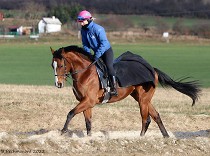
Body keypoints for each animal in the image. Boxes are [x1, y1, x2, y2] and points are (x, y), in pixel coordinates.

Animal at [50, 45, 200, 138]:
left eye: (61, 65)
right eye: (52, 65)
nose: (58, 84)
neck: (85, 73)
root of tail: (153, 69)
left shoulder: (89, 101)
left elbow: (71, 113)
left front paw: (63, 131)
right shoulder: (85, 102)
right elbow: (88, 122)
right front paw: (89, 138)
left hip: (143, 99)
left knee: (145, 118)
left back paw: (141, 138)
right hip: (141, 98)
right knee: (156, 116)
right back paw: (166, 137)